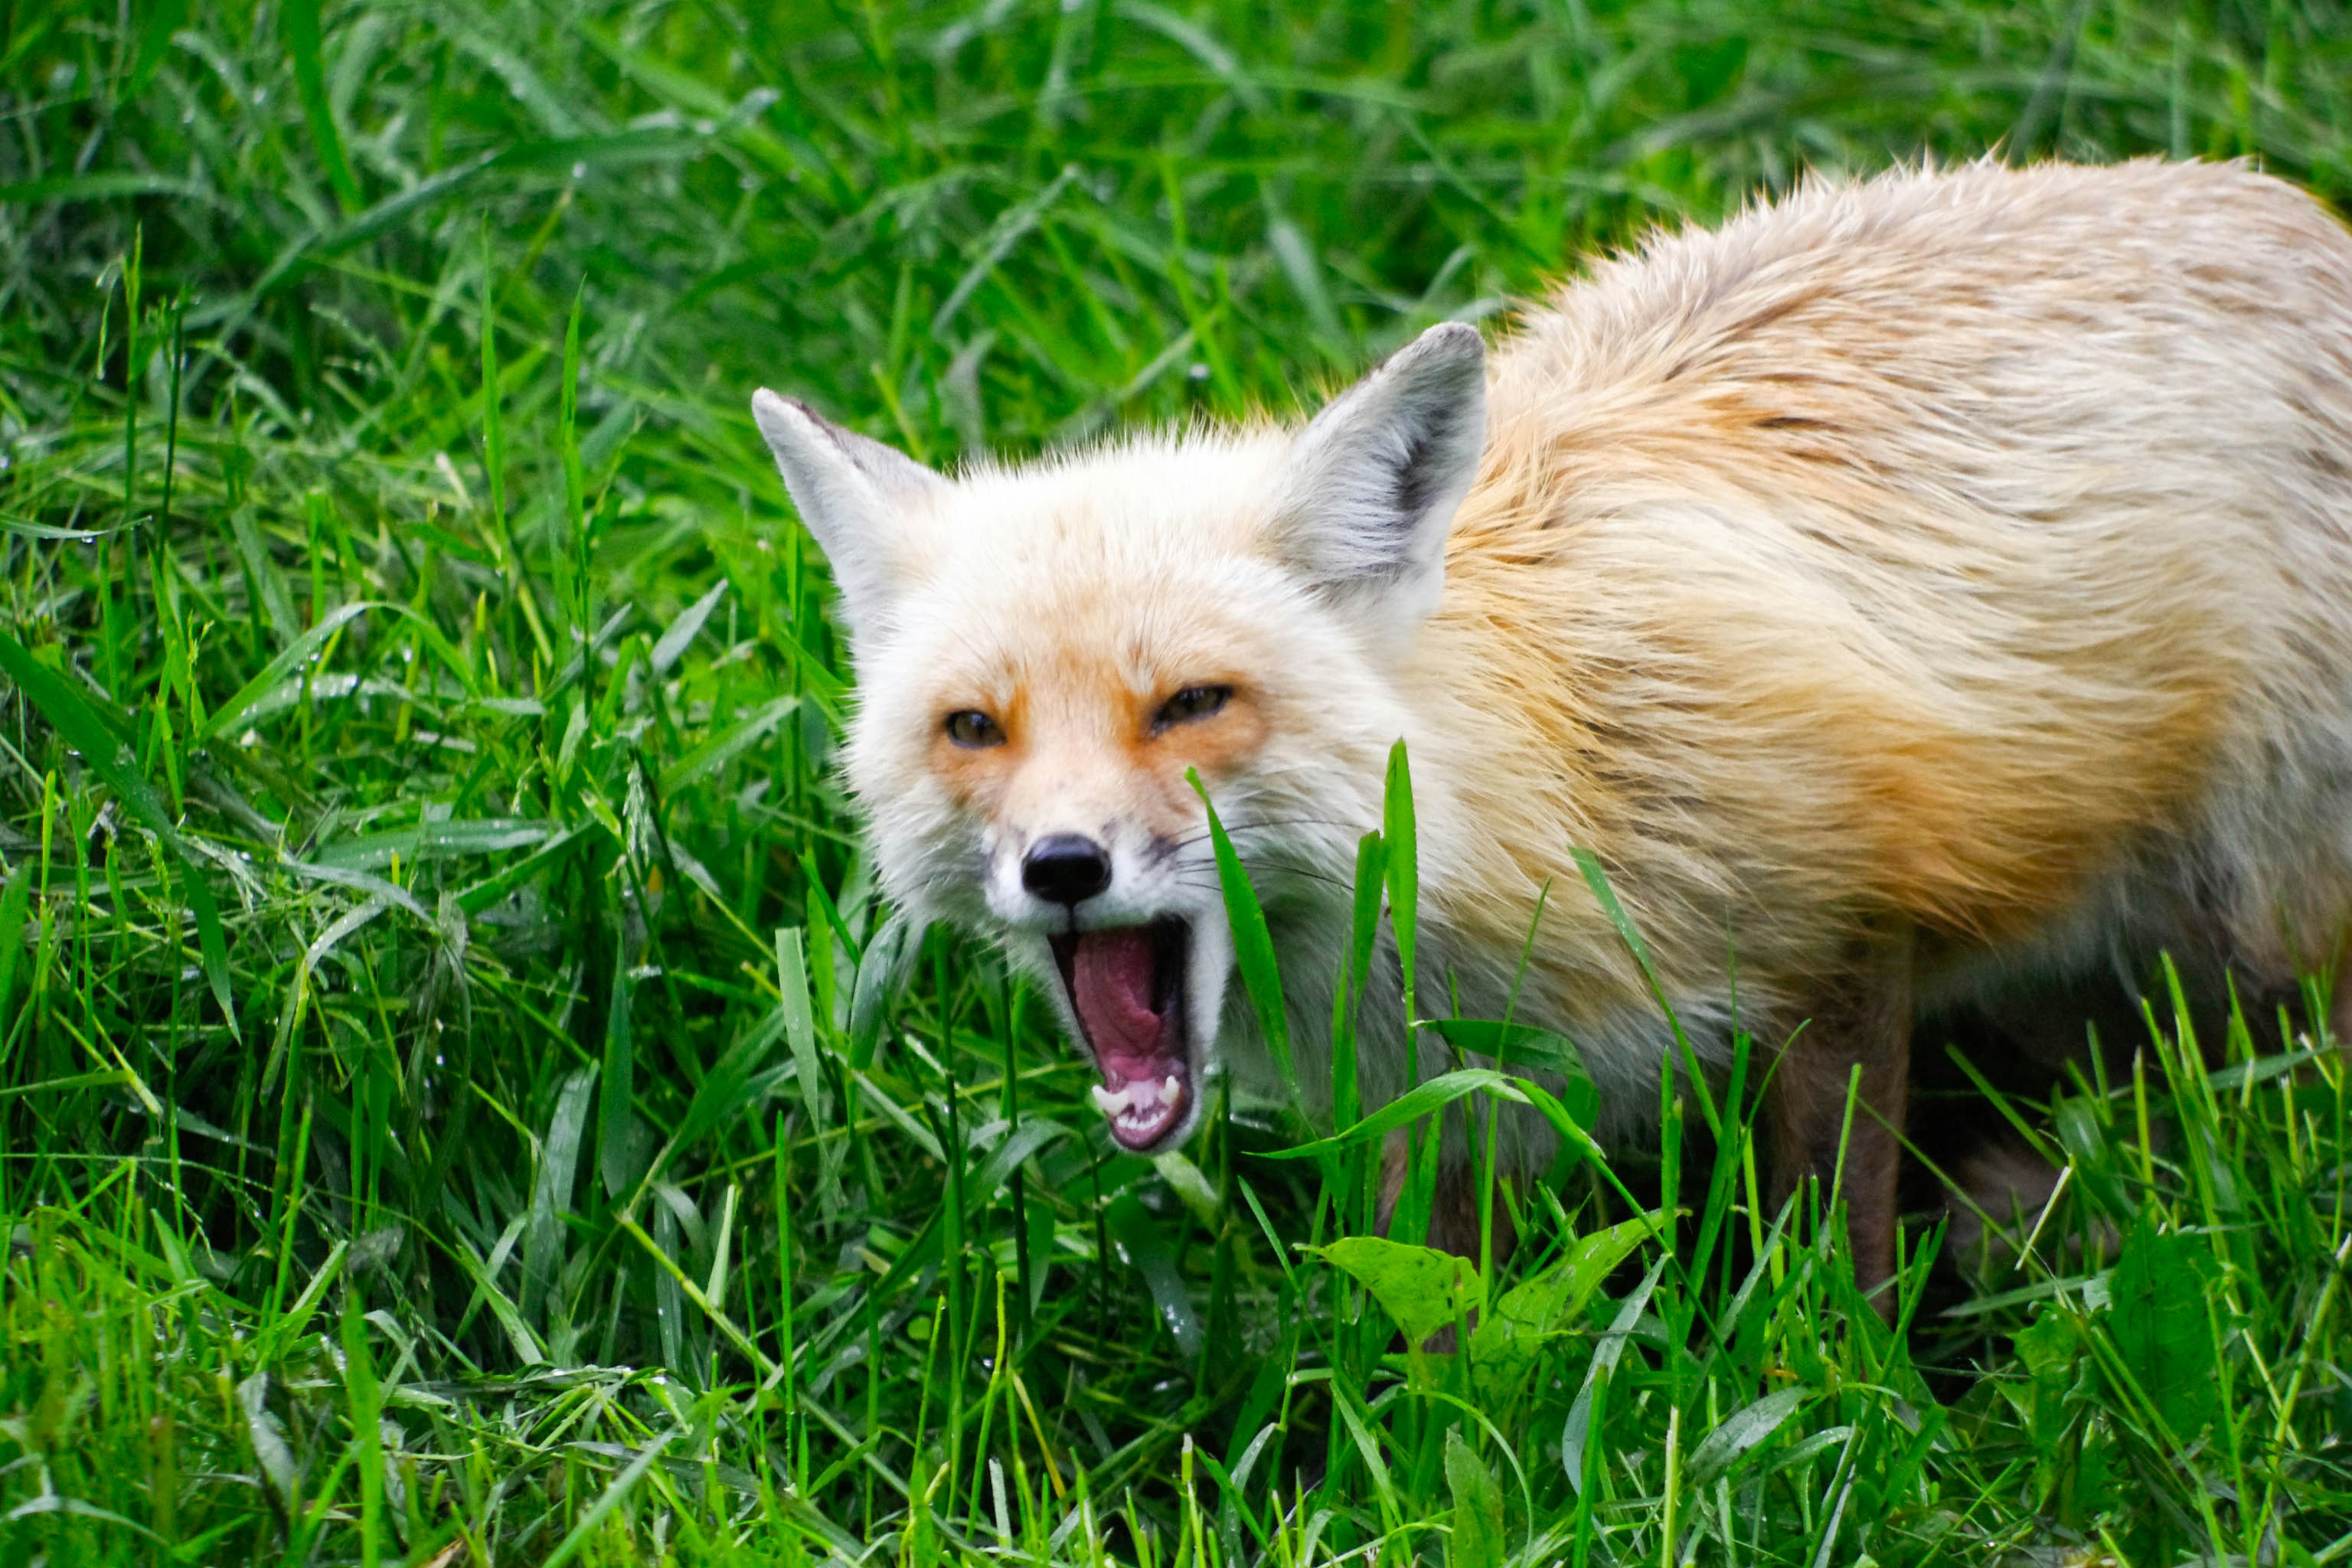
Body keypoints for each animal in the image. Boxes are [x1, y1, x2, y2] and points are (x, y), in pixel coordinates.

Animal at [752, 158, 2352, 1305]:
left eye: (1190, 703)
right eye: (976, 726)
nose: (1064, 866)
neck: (1540, 779)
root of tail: (2295, 214)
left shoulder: (1839, 933)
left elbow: (1830, 1250)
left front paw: (1860, 1391)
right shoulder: (1431, 1110)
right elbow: (1439, 1348)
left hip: (2260, 935)